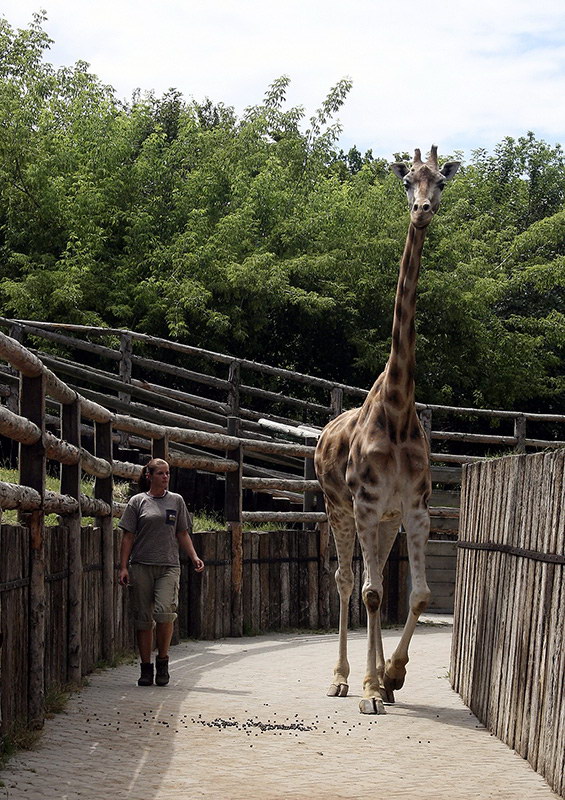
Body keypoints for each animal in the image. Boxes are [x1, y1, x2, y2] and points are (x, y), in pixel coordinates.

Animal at [312, 144, 458, 712]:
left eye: (440, 181)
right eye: (406, 181)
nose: (422, 210)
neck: (396, 408)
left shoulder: (413, 508)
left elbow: (418, 594)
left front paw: (392, 677)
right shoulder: (367, 503)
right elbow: (371, 592)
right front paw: (371, 686)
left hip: (385, 521)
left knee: (372, 582)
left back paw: (375, 681)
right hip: (340, 508)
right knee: (347, 580)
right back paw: (343, 679)